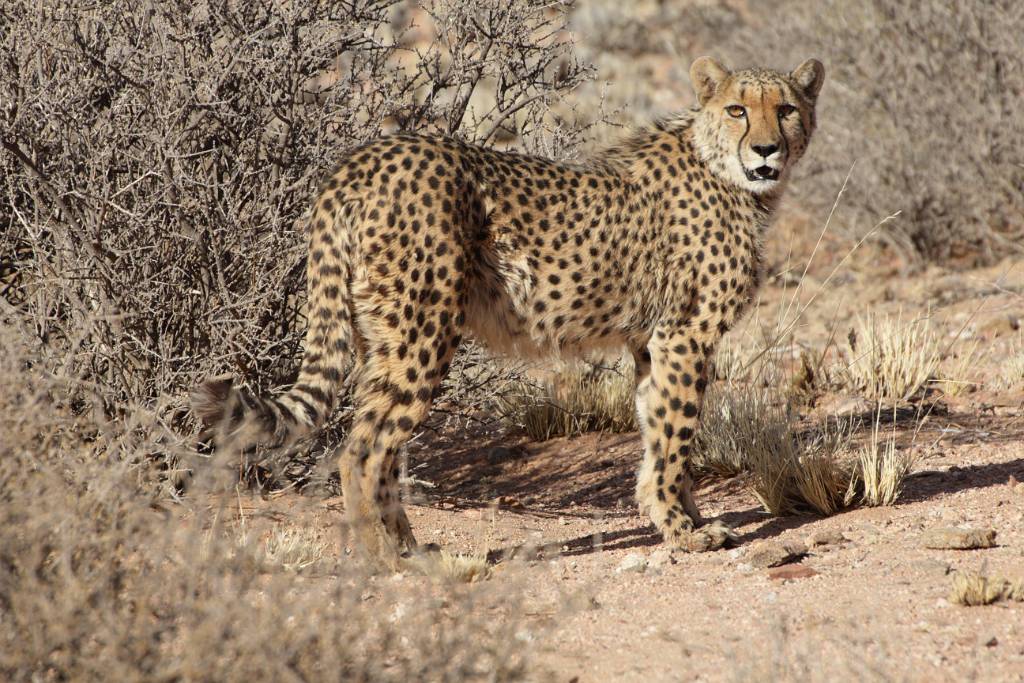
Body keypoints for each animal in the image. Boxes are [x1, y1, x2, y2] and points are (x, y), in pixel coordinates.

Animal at [195, 56, 827, 569]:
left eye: (786, 109)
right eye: (738, 110)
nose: (766, 149)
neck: (725, 172)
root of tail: (364, 157)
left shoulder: (650, 342)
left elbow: (657, 434)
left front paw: (683, 519)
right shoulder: (684, 335)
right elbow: (676, 439)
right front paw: (684, 533)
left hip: (378, 334)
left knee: (382, 447)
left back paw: (412, 548)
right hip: (423, 333)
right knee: (362, 450)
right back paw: (385, 559)